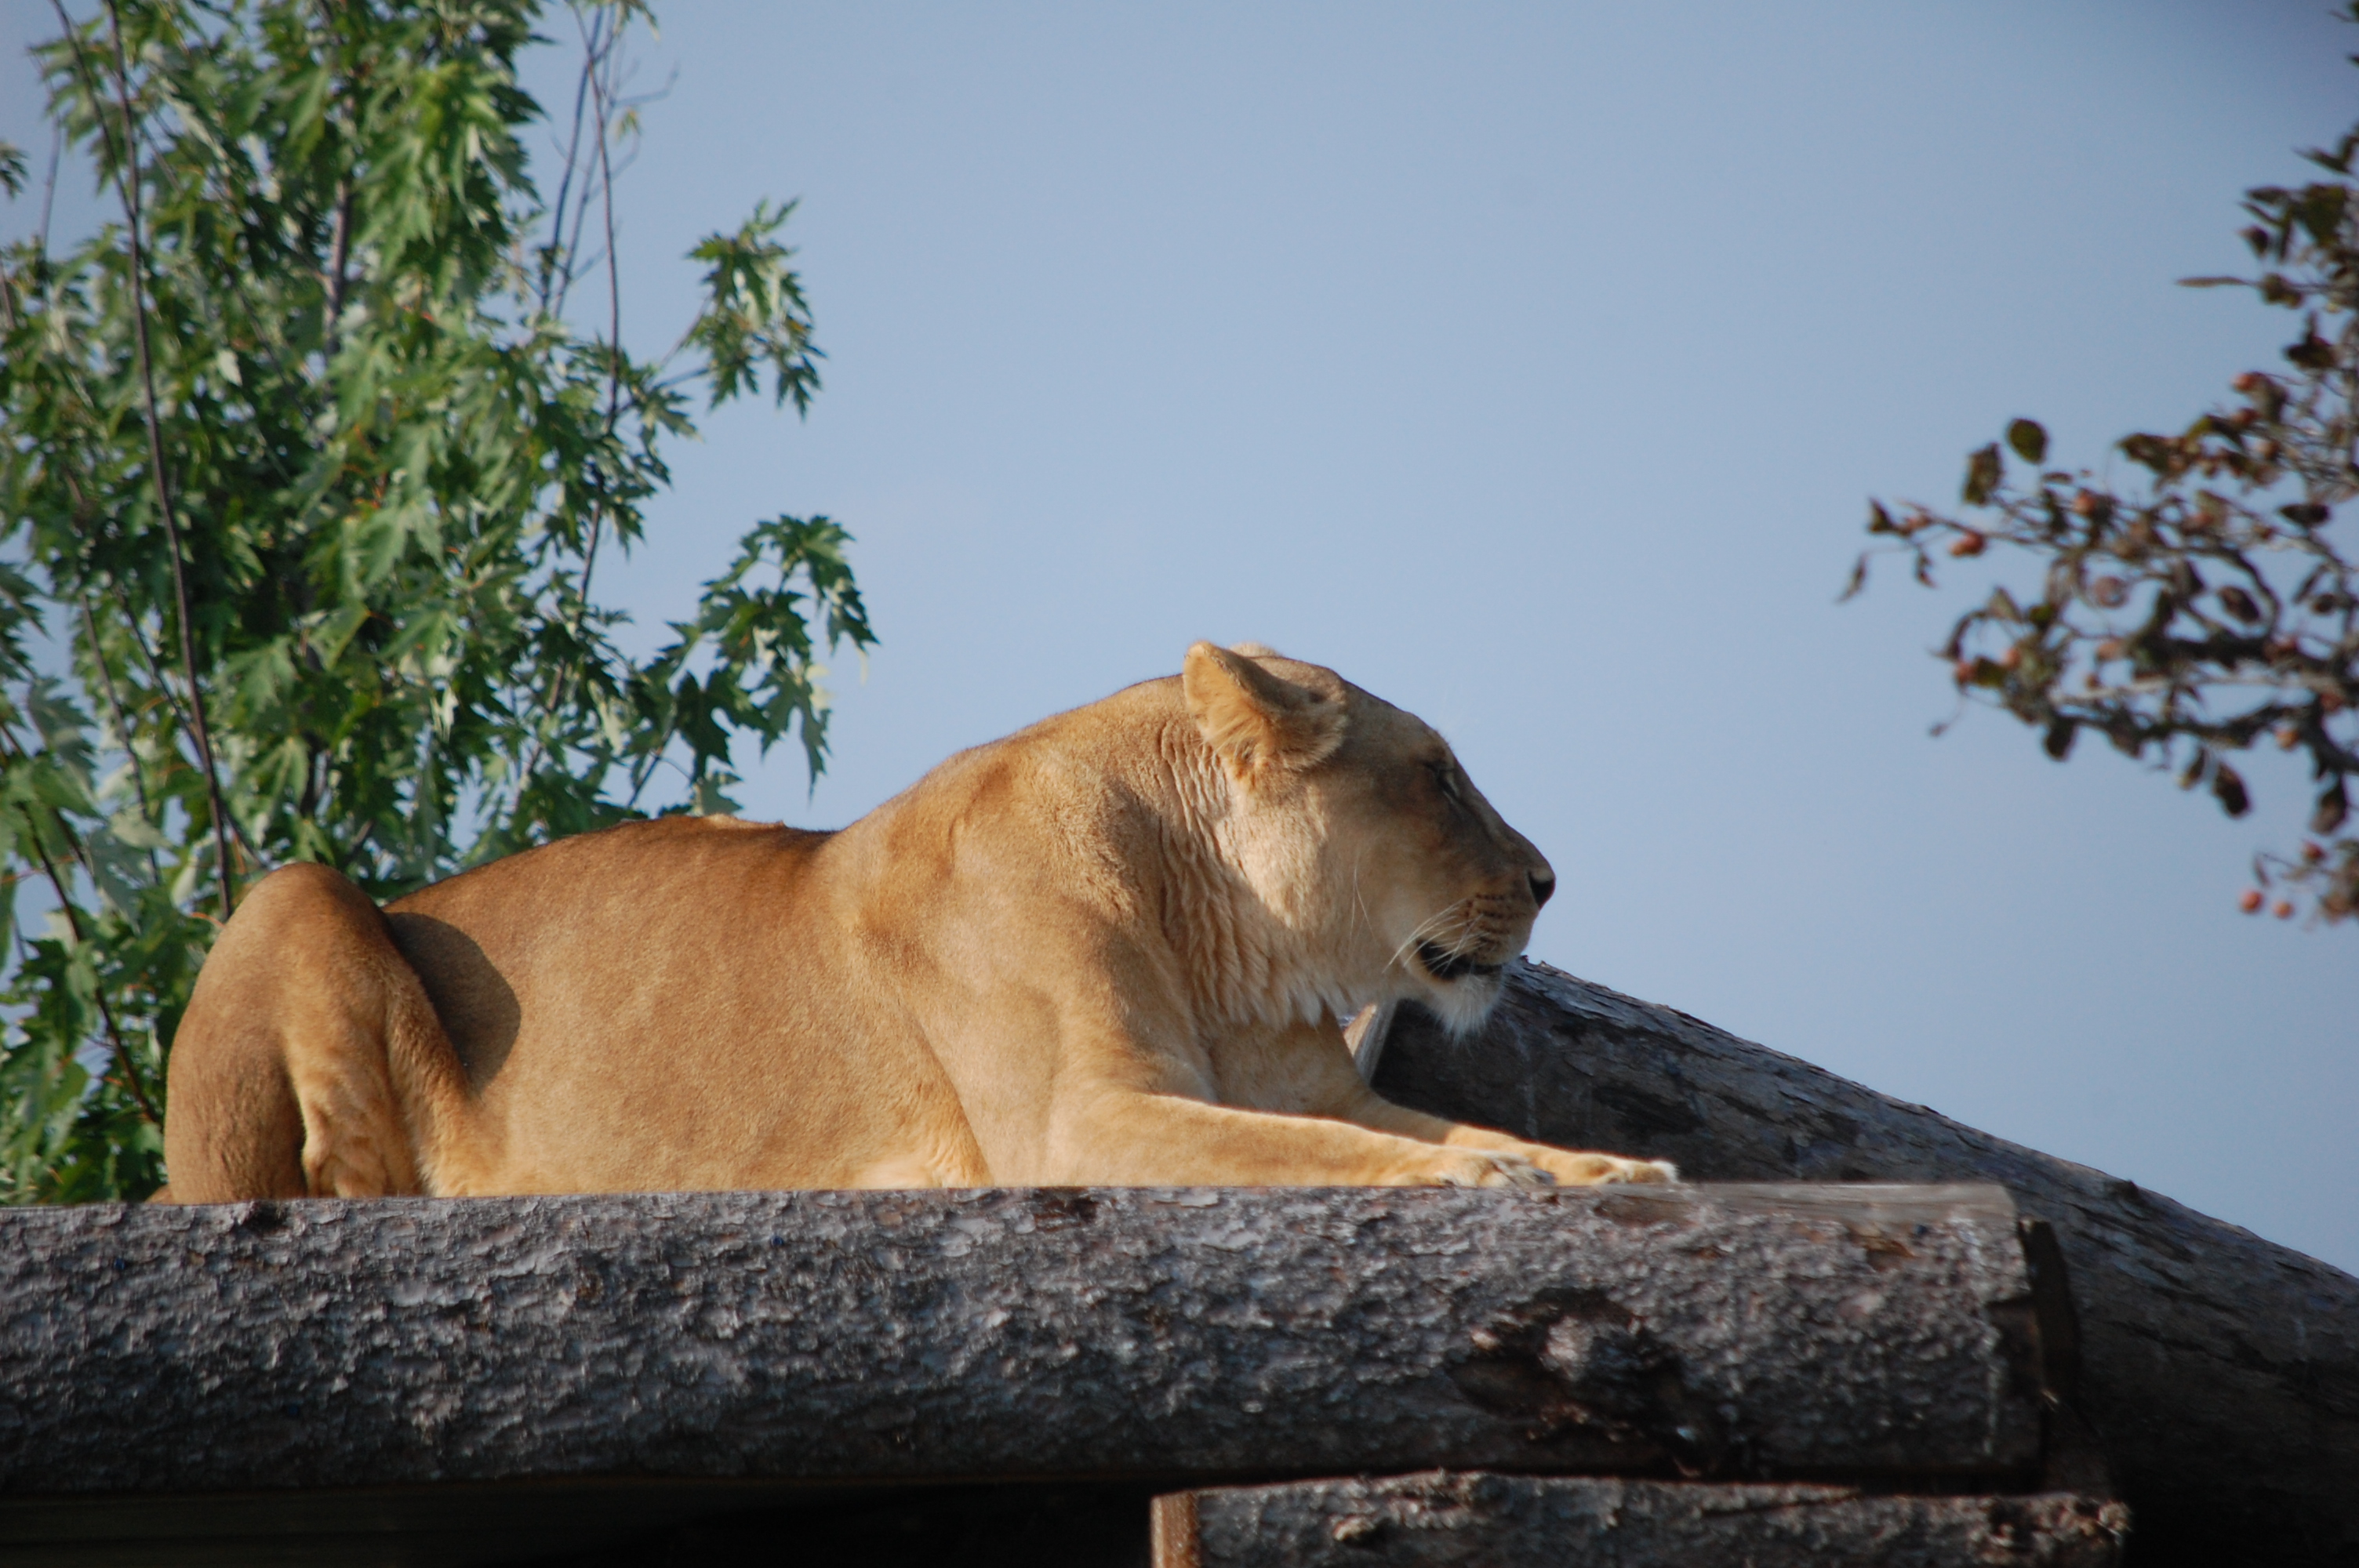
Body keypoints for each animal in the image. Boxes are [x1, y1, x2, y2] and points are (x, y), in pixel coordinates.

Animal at [158, 643, 1675, 1200]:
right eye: (1439, 777)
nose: (1547, 879)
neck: (1231, 947)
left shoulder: (1324, 1090)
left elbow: (1409, 1129)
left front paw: (1595, 1166)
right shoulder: (1078, 1122)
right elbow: (1322, 1156)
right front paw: (1507, 1178)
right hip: (298, 887)